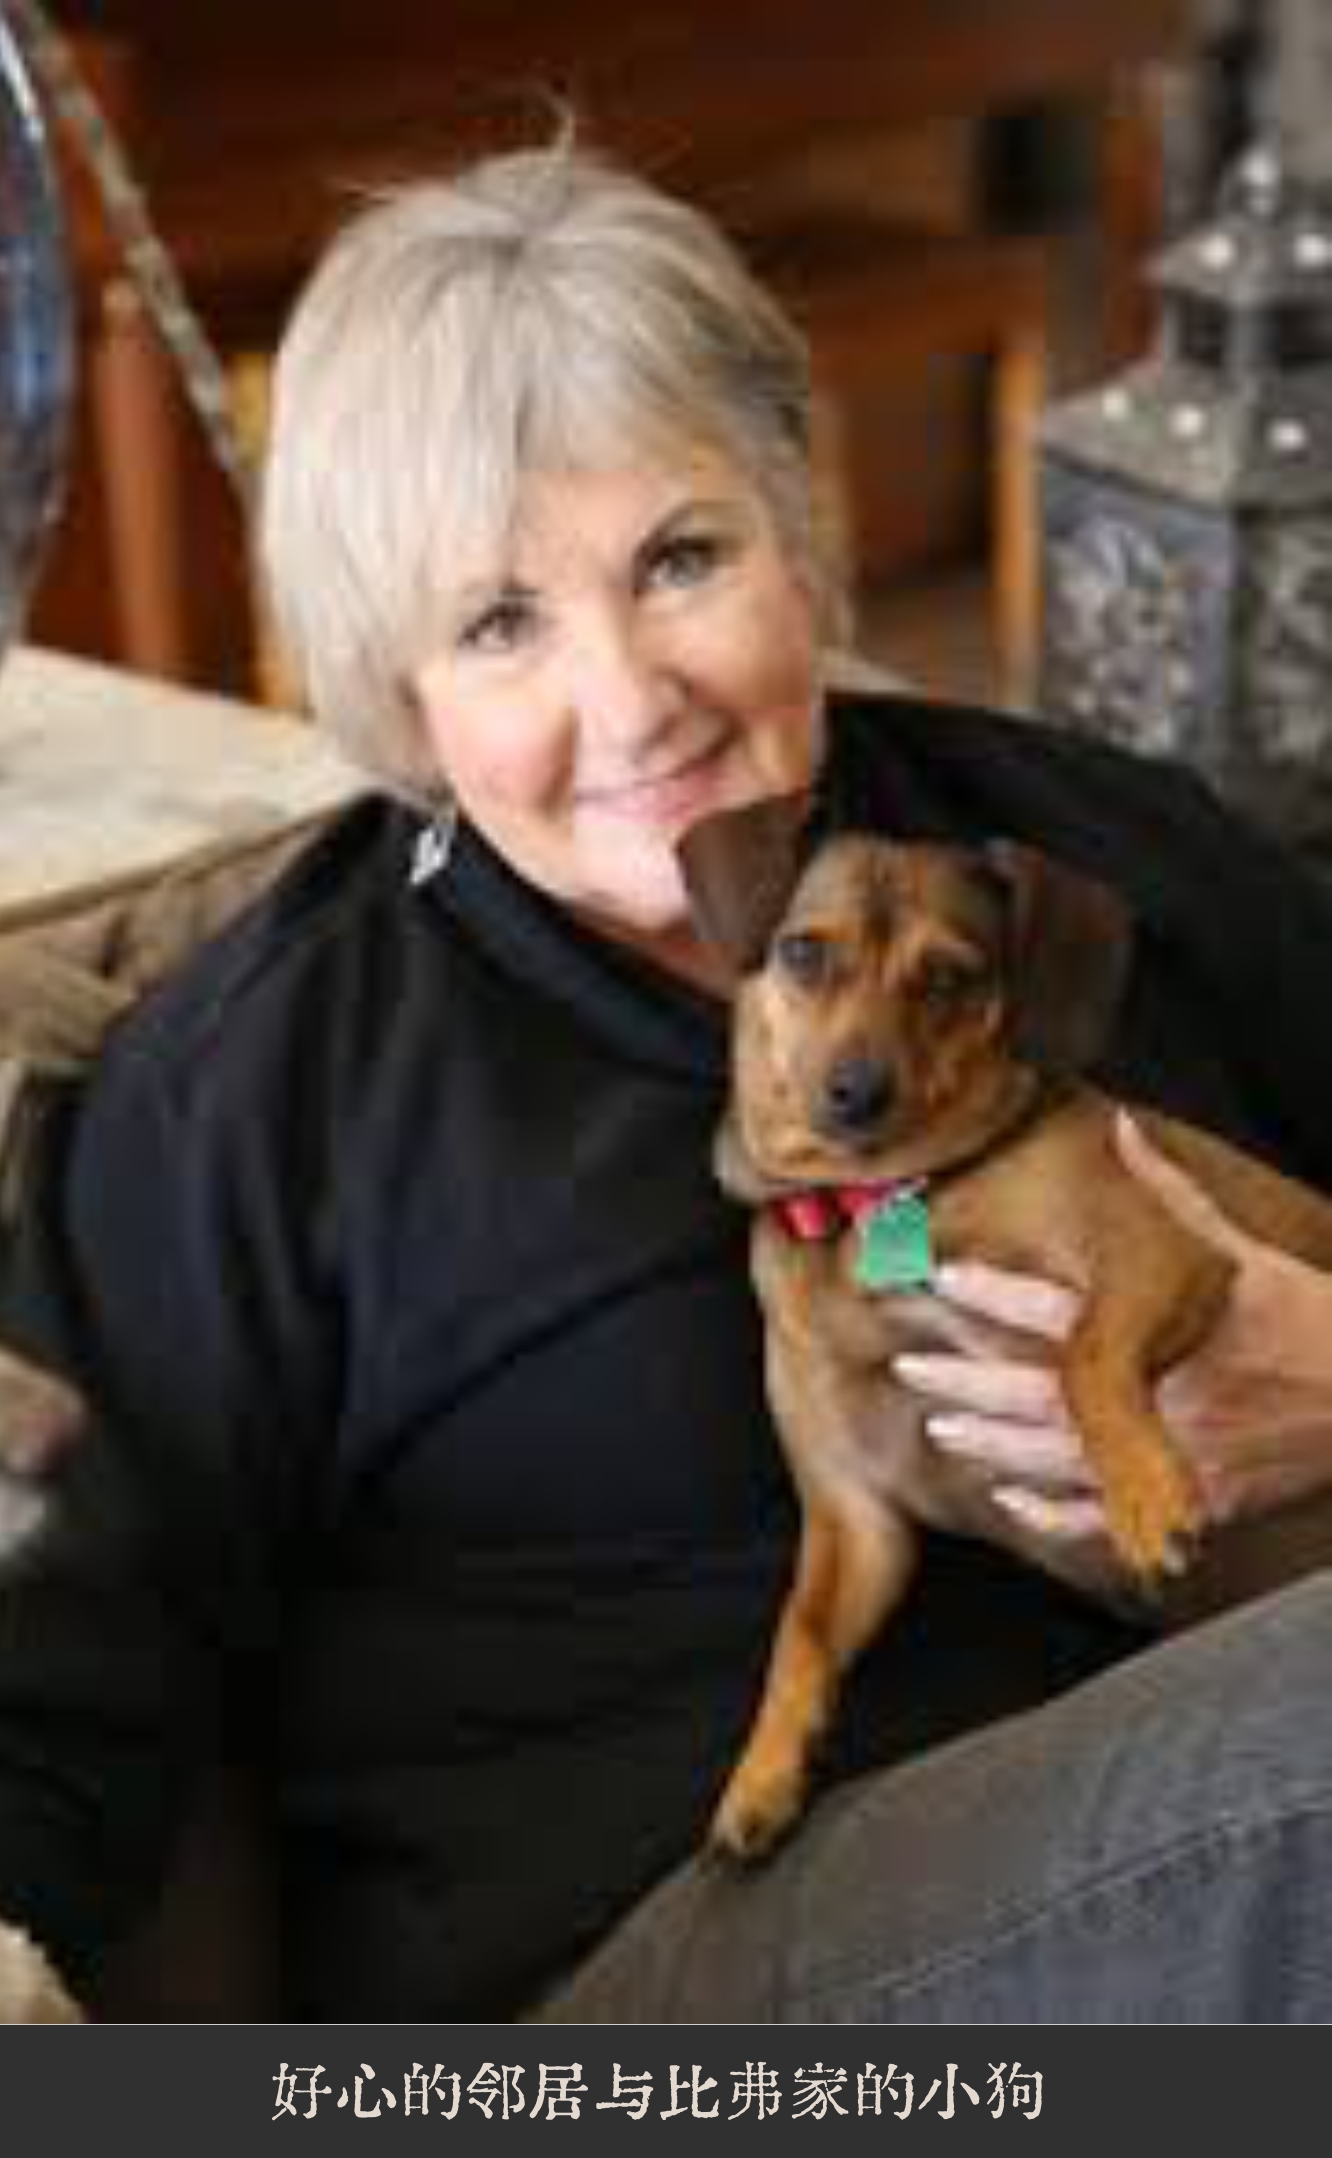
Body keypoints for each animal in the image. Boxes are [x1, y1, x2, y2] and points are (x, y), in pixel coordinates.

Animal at [678, 797, 1332, 1859]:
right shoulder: (856, 1521)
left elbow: (1085, 1355)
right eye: (804, 953)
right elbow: (799, 1636)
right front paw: (762, 1772)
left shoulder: (1163, 1255)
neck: (887, 1200)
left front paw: (1144, 1497)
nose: (856, 1091)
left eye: (949, 978)